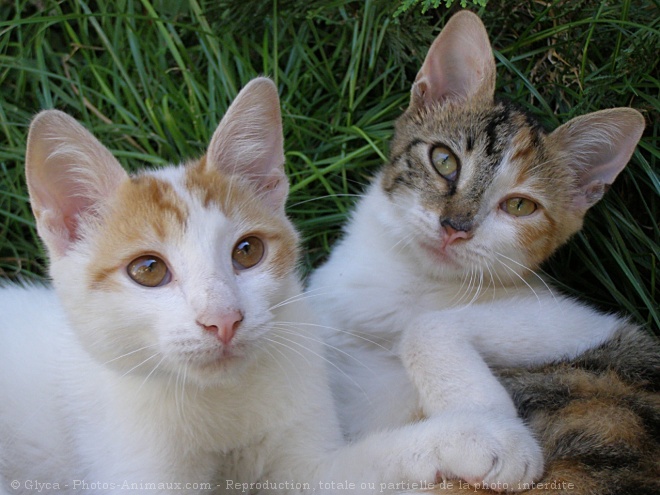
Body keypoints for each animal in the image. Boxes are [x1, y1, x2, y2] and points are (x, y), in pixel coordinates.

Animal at [1, 79, 532, 494]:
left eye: (247, 251)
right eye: (147, 269)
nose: (223, 320)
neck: (221, 401)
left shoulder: (306, 462)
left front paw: (476, 437)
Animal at [308, 10, 656, 492]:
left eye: (520, 206)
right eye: (444, 160)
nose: (455, 228)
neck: (411, 283)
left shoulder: (592, 325)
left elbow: (426, 327)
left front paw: (491, 425)